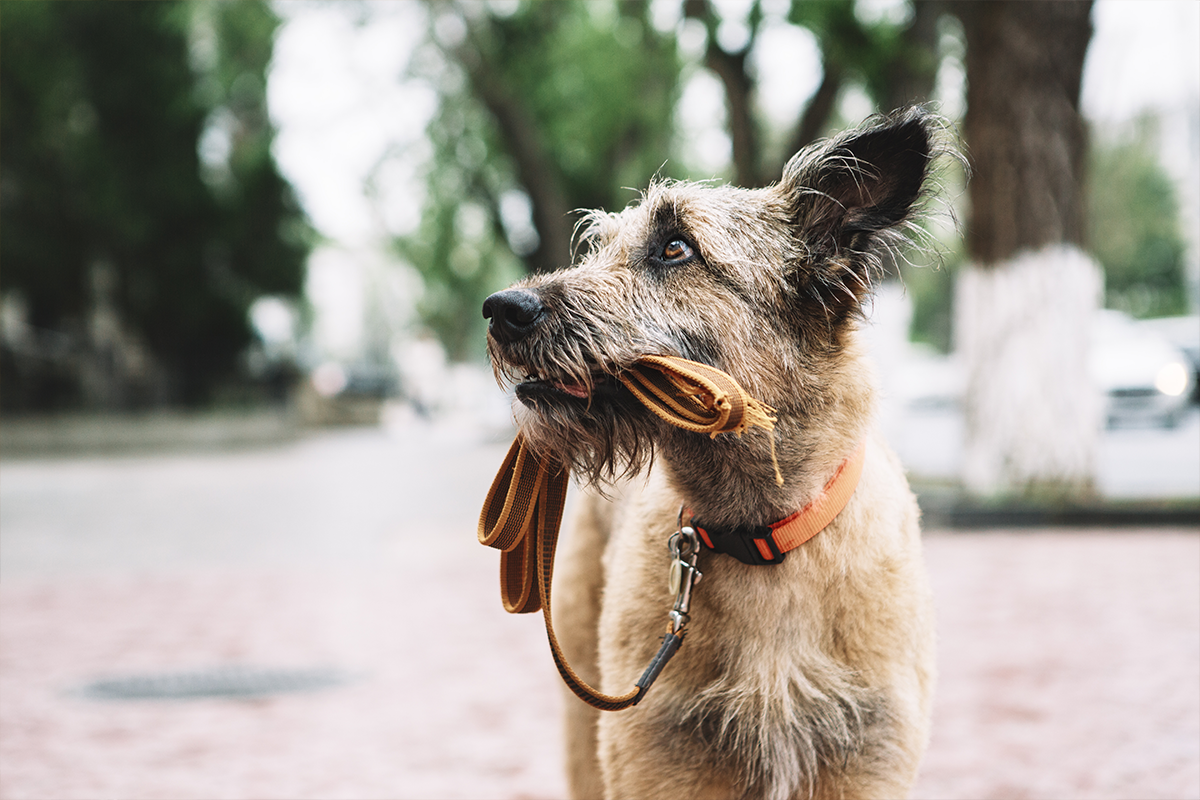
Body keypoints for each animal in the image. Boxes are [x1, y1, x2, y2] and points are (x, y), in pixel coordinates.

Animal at [480, 107, 945, 800]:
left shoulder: (862, 761)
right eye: (600, 246)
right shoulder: (664, 761)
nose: (502, 309)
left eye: (675, 247)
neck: (762, 534)